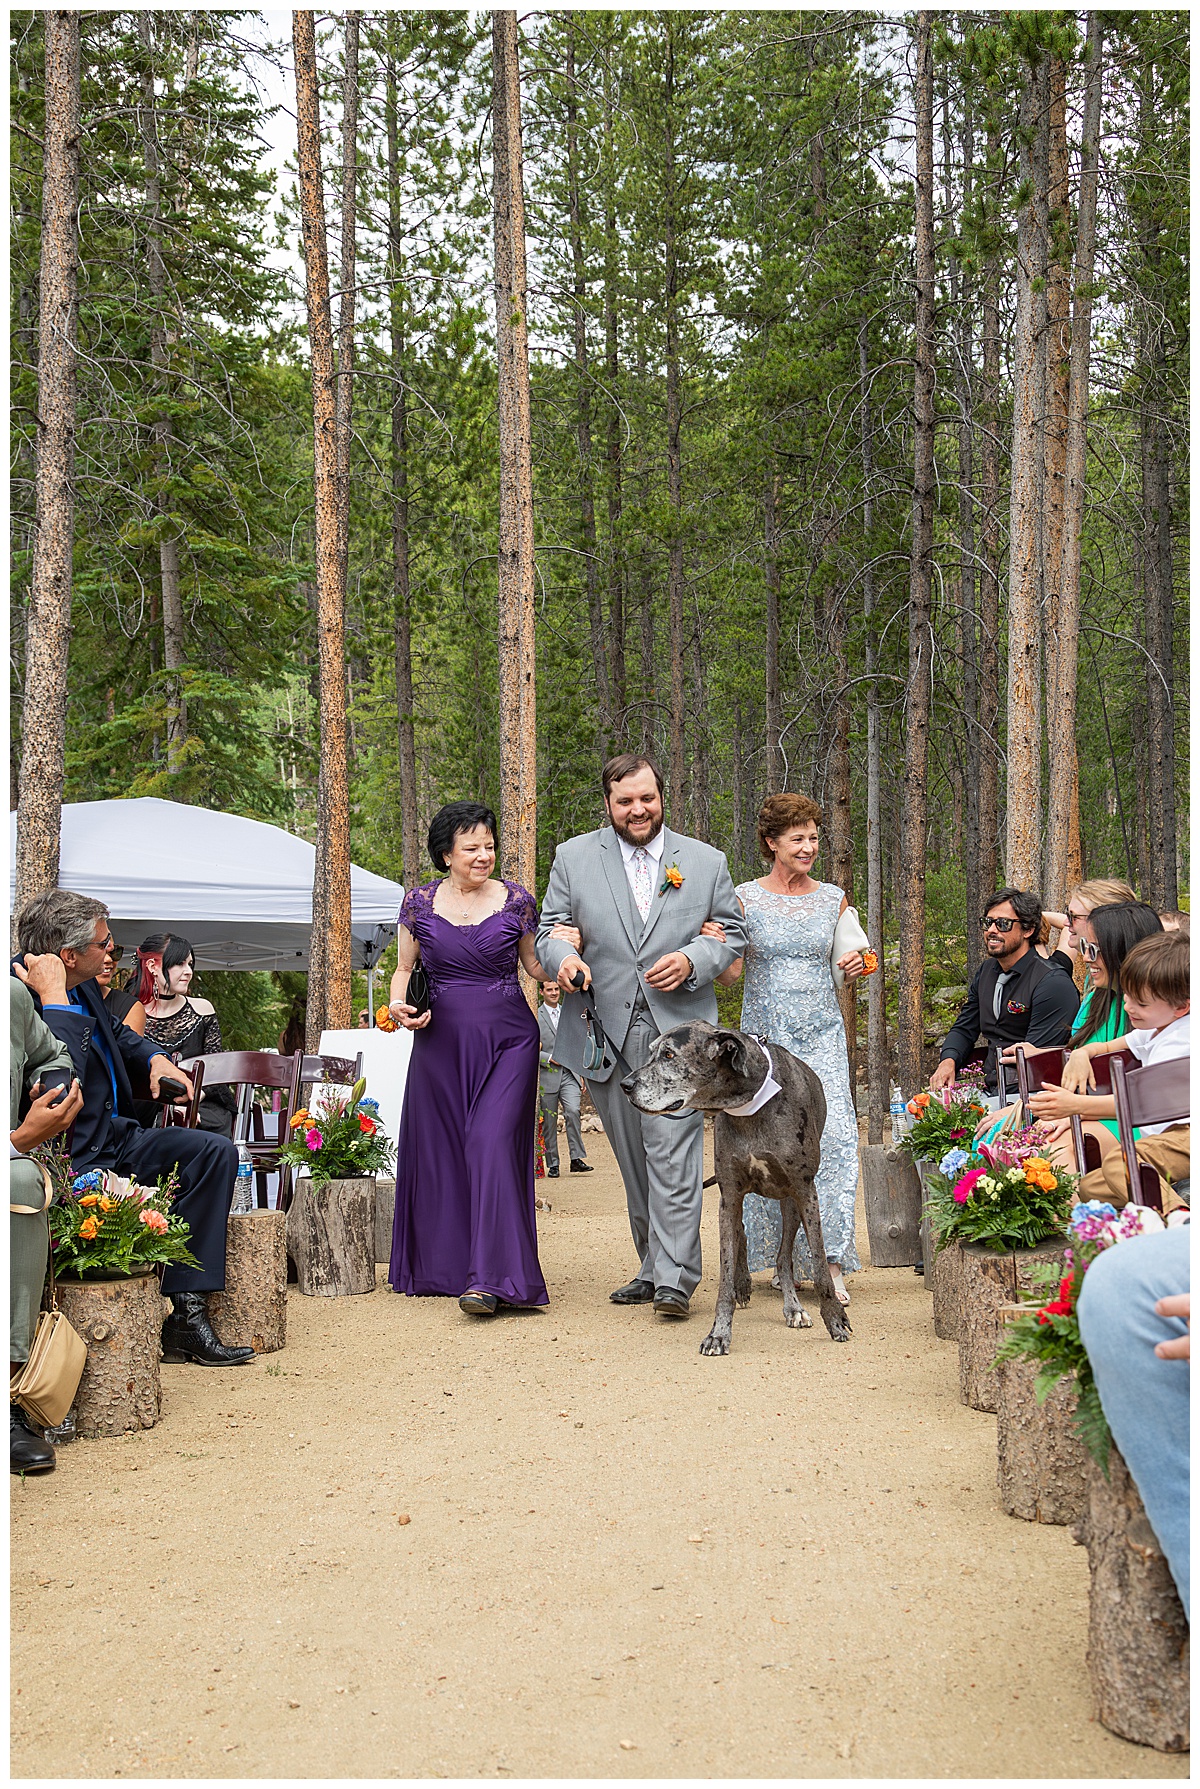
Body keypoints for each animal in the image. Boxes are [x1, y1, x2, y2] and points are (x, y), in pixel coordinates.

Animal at [618, 1030, 854, 1345]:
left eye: (669, 1055)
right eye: (652, 1051)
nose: (625, 1085)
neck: (751, 1102)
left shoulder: (805, 1192)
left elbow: (818, 1264)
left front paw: (835, 1319)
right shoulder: (729, 1195)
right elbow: (726, 1270)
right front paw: (719, 1332)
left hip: (790, 1200)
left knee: (783, 1257)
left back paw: (793, 1307)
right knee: (743, 1233)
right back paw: (745, 1283)